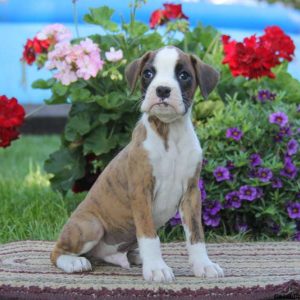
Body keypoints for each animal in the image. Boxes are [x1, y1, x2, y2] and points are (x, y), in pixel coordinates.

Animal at [50, 45, 224, 282]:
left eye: (183, 75)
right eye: (148, 73)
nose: (162, 90)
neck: (170, 134)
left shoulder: (191, 194)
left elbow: (196, 235)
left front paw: (203, 265)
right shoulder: (141, 191)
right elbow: (150, 236)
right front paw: (157, 268)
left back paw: (134, 257)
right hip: (91, 225)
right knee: (56, 252)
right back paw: (74, 262)